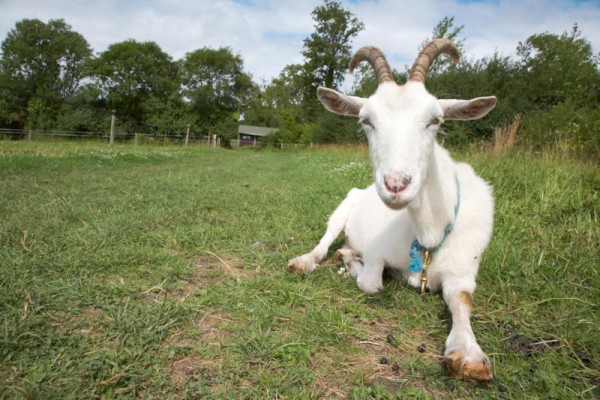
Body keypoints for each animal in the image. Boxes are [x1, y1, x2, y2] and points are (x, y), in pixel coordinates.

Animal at [288, 39, 494, 382]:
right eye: (366, 121)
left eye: (435, 120)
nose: (396, 184)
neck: (429, 231)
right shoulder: (376, 252)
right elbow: (371, 284)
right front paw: (350, 261)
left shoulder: (463, 270)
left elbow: (463, 300)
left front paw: (469, 353)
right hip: (344, 207)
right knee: (325, 241)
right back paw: (309, 260)